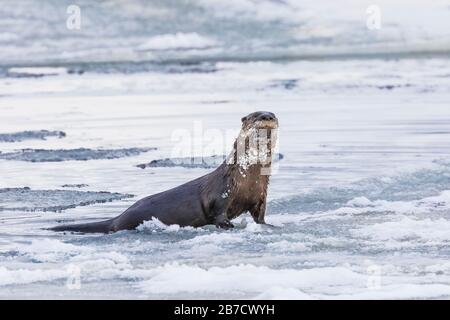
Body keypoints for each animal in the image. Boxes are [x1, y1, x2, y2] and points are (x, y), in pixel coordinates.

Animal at [51, 111, 278, 234]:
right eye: (254, 116)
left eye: (273, 115)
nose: (266, 116)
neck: (247, 177)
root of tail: (117, 218)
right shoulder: (222, 191)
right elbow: (218, 214)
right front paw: (228, 226)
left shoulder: (260, 195)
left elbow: (260, 215)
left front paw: (269, 225)